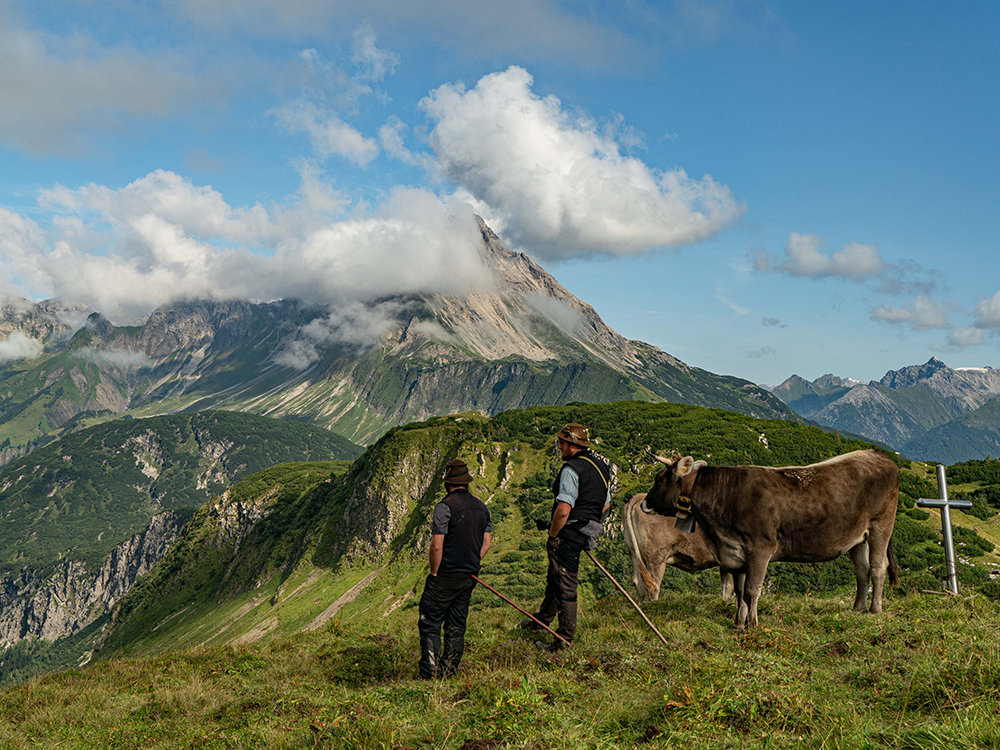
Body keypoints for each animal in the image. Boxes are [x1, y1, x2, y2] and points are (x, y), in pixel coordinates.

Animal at [640, 450, 900, 632]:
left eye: (659, 479)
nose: (644, 503)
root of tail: (877, 453)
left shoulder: (759, 550)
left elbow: (751, 591)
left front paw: (752, 624)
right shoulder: (735, 552)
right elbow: (739, 591)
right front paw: (738, 623)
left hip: (881, 525)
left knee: (878, 567)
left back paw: (874, 610)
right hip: (858, 538)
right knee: (862, 571)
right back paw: (858, 609)